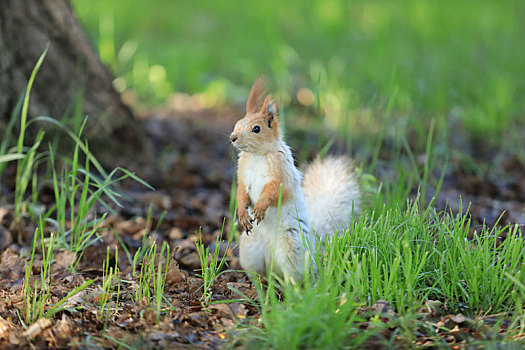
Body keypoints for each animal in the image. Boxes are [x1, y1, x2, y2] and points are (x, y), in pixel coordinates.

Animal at [230, 76, 360, 282]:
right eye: (237, 123)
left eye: (256, 129)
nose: (232, 137)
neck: (256, 155)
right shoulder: (242, 175)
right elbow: (241, 192)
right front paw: (242, 213)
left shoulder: (282, 176)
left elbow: (275, 191)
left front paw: (260, 207)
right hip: (250, 249)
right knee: (258, 271)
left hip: (291, 249)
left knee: (295, 275)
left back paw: (292, 287)